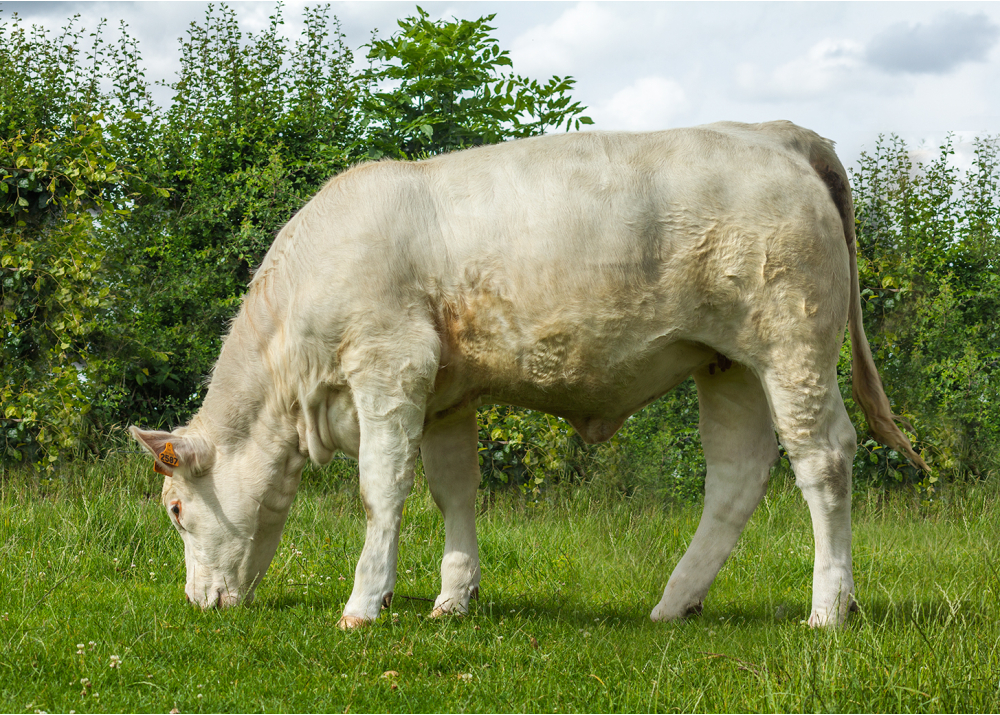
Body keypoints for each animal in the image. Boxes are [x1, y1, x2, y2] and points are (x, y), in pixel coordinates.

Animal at [129, 121, 924, 628]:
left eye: (175, 509)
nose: (198, 603)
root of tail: (774, 131)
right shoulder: (446, 394)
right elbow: (453, 490)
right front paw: (453, 598)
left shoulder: (390, 363)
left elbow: (381, 491)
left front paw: (364, 603)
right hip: (727, 363)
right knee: (737, 474)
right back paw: (675, 602)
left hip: (792, 344)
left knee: (823, 459)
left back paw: (828, 608)